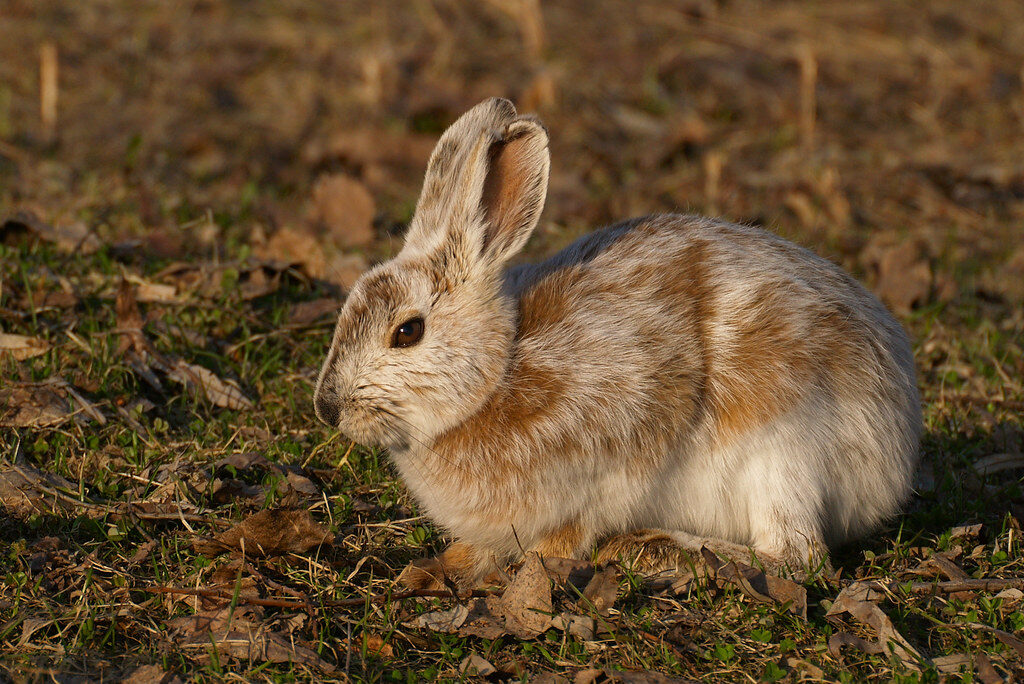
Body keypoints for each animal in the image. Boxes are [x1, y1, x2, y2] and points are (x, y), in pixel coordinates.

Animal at [313, 97, 922, 590]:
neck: (498, 373)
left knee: (796, 557)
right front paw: (449, 564)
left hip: (782, 450)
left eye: (407, 332)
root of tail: (898, 446)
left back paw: (652, 550)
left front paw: (534, 563)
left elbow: (579, 521)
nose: (327, 408)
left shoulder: (627, 429)